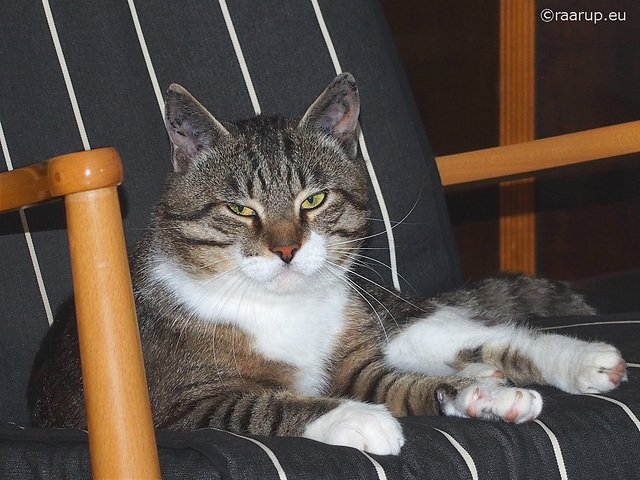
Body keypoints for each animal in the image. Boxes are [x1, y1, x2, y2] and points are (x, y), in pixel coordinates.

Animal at [28, 73, 624, 456]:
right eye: (240, 209)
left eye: (313, 200)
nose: (286, 249)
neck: (284, 306)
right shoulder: (172, 407)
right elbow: (262, 405)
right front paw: (358, 416)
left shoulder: (356, 359)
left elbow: (398, 381)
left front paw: (483, 397)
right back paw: (484, 377)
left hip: (387, 317)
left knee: (483, 334)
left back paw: (576, 360)